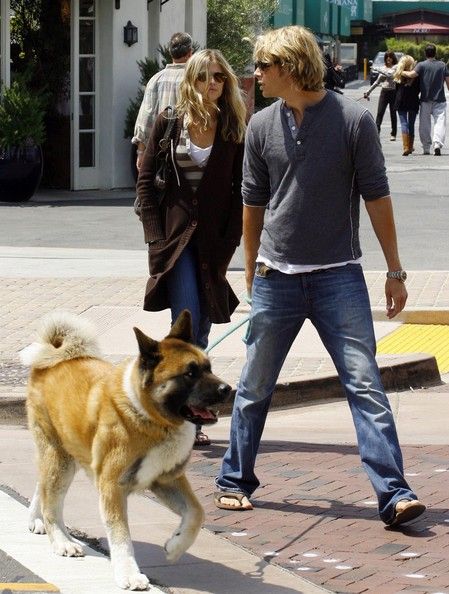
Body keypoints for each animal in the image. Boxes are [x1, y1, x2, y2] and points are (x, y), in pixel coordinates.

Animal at [20, 310, 231, 588]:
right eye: (189, 374)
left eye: (208, 368)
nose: (227, 389)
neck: (150, 417)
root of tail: (54, 359)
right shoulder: (112, 486)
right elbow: (121, 536)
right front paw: (129, 574)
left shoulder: (167, 479)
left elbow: (197, 513)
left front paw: (175, 546)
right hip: (59, 457)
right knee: (51, 502)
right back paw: (62, 541)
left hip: (70, 453)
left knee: (43, 487)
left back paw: (36, 519)